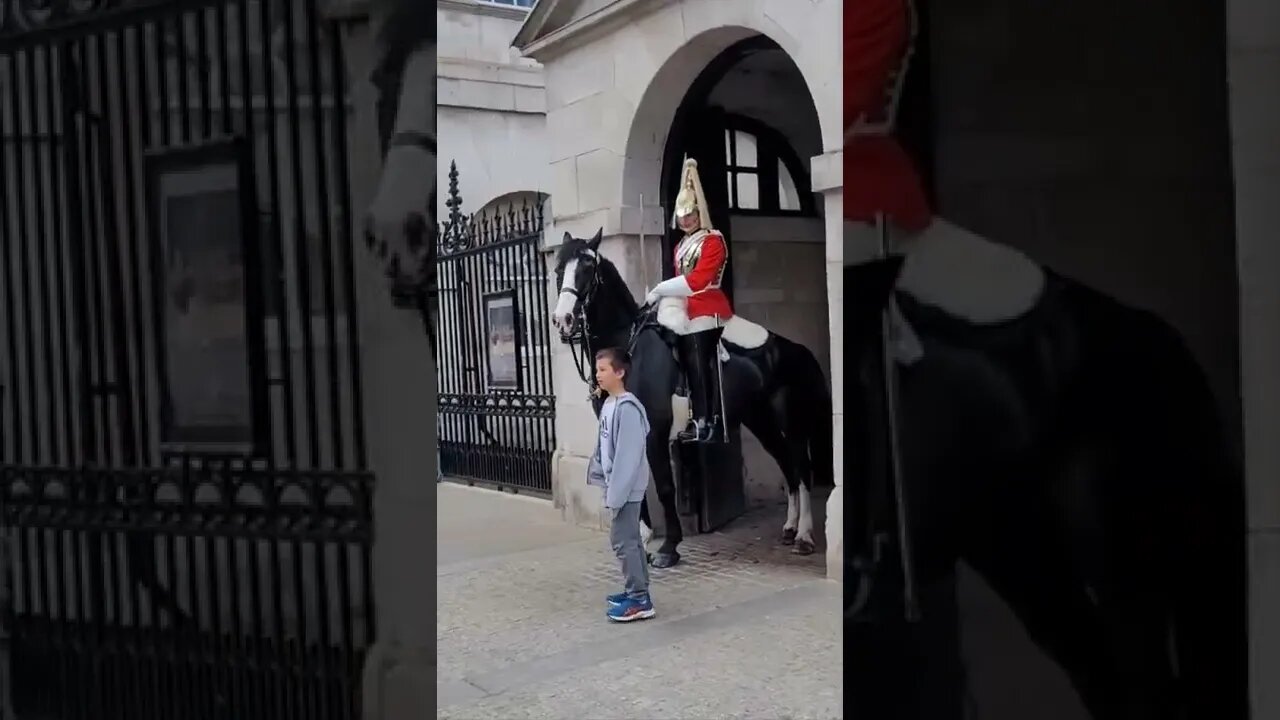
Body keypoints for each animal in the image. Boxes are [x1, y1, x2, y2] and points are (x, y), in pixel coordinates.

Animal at [552, 229, 834, 566]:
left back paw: (804, 535)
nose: (563, 320)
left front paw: (668, 547)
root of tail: (799, 351)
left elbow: (663, 487)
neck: (628, 351)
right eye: (558, 269)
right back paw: (790, 528)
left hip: (791, 424)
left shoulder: (655, 433)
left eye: (587, 270)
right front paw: (641, 538)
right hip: (760, 420)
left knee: (802, 470)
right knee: (787, 465)